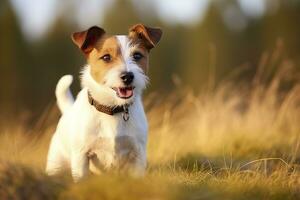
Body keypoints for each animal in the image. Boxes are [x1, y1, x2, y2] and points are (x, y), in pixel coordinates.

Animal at [45, 23, 162, 181]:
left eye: (137, 56)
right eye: (106, 57)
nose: (127, 76)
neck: (112, 108)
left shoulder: (138, 155)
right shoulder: (81, 156)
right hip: (56, 164)